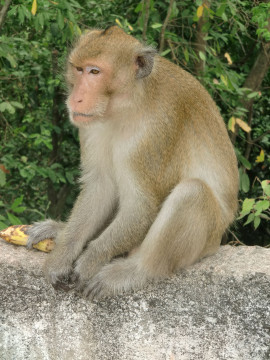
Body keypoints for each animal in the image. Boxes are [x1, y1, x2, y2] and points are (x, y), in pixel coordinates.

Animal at [26, 26, 238, 300]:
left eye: (95, 72)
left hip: (208, 237)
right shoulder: (89, 127)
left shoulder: (156, 131)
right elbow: (100, 188)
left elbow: (142, 205)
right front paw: (61, 256)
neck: (126, 107)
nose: (76, 98)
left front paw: (90, 260)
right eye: (79, 69)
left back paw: (135, 271)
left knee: (193, 192)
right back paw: (60, 230)